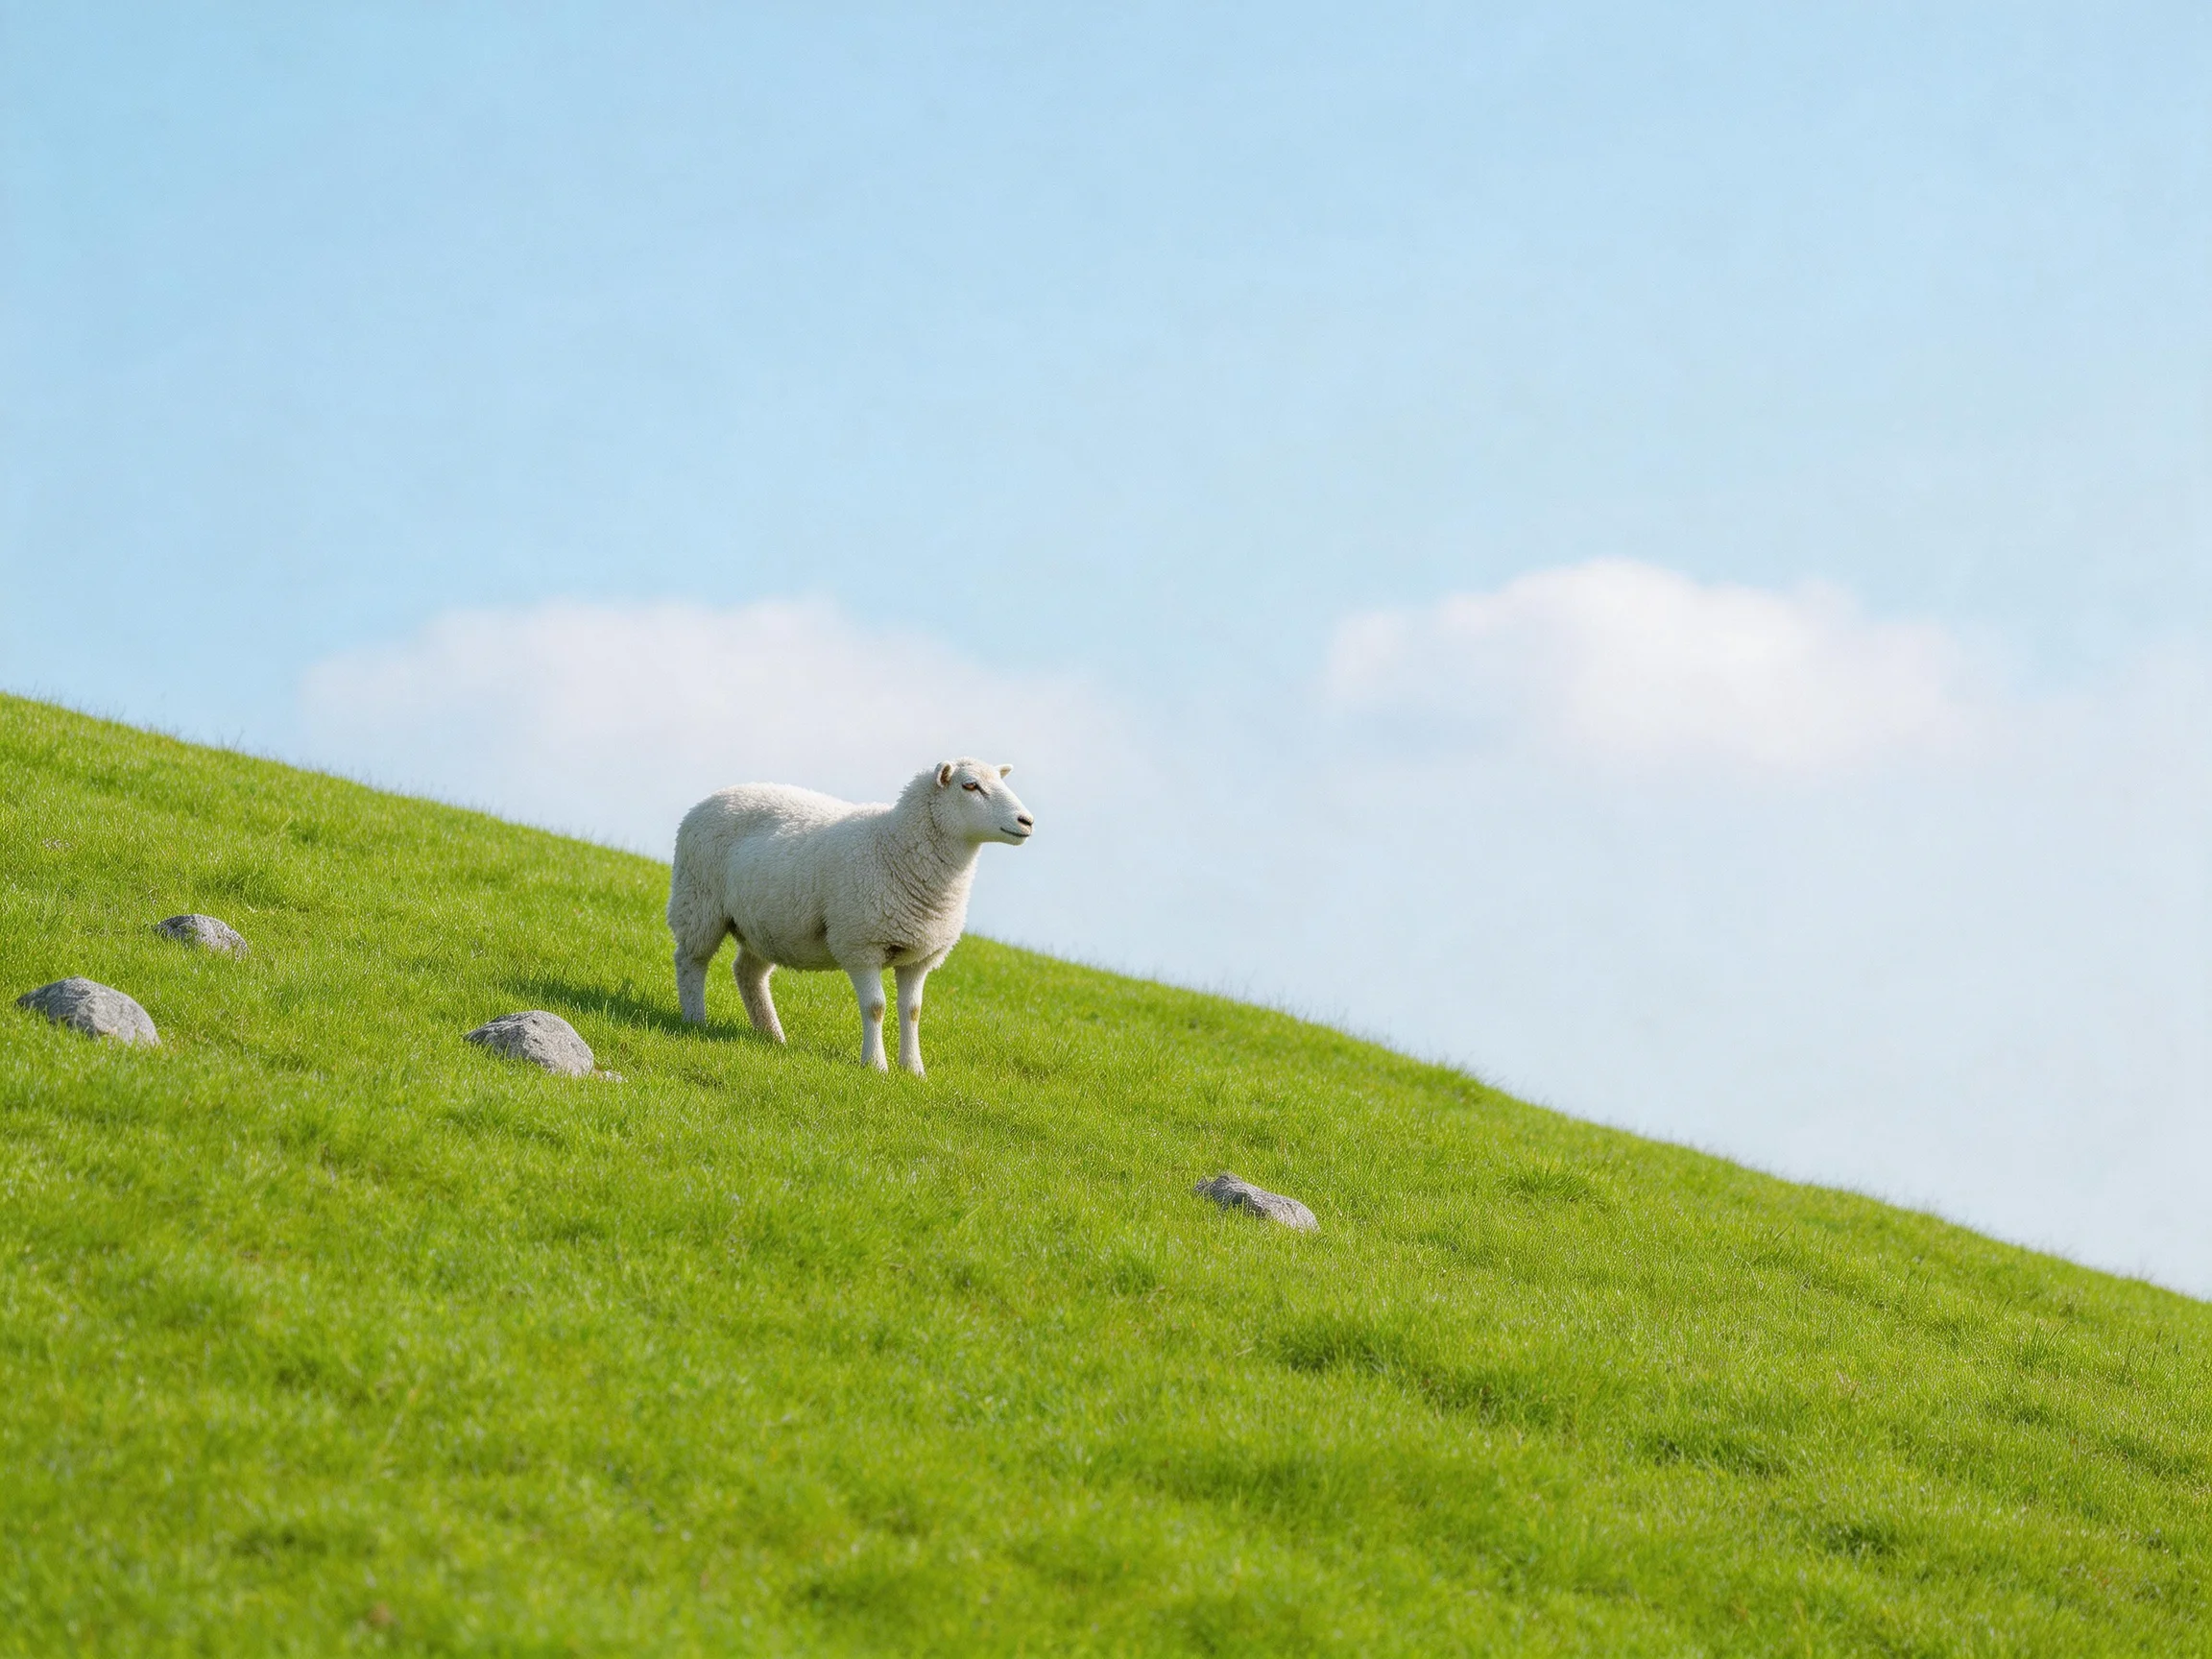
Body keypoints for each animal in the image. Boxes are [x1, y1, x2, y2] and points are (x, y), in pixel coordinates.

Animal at [668, 758, 1035, 1074]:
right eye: (970, 785)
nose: (1027, 821)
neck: (895, 845)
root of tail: (715, 796)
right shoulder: (860, 945)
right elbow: (876, 1006)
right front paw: (876, 1065)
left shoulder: (920, 957)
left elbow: (912, 1012)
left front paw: (914, 1070)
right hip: (698, 901)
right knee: (691, 960)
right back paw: (695, 1019)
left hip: (767, 925)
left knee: (748, 972)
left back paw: (771, 1035)